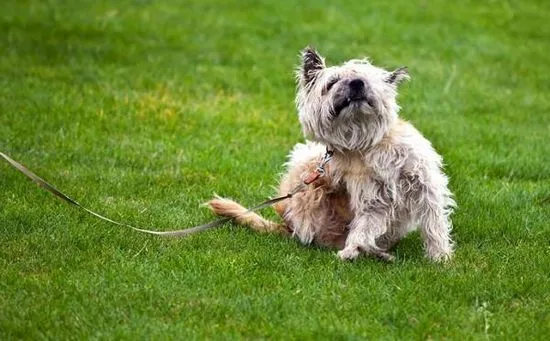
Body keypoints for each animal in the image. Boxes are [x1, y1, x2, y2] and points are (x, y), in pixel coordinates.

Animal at [207, 47, 458, 260]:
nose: (357, 83)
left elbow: (434, 223)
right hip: (307, 167)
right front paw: (352, 250)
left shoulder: (423, 184)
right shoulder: (373, 199)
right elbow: (364, 226)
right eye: (332, 82)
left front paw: (440, 258)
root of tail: (288, 227)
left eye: (366, 79)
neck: (366, 143)